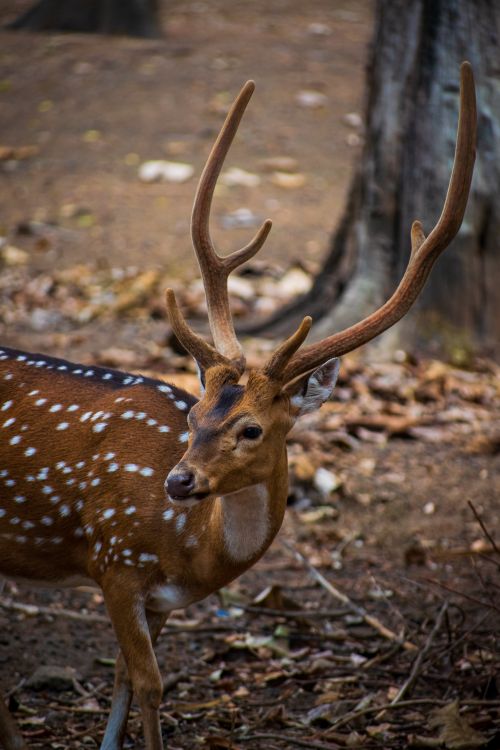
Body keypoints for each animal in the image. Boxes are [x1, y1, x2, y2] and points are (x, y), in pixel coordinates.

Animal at [0, 62, 475, 750]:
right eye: (192, 417)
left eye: (250, 428)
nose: (178, 481)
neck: (192, 553)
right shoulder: (115, 559)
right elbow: (150, 686)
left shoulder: (153, 595)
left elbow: (122, 682)